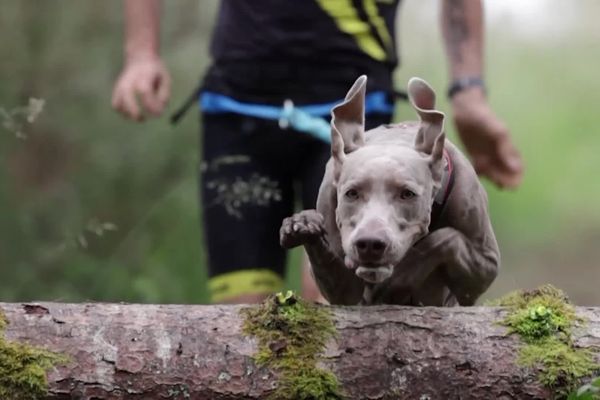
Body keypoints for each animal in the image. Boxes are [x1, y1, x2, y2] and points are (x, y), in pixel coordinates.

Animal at [282, 75, 502, 306]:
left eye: (408, 194)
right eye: (351, 193)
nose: (370, 244)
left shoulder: (486, 265)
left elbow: (443, 238)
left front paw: (397, 282)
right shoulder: (343, 288)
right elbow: (345, 288)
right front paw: (302, 224)